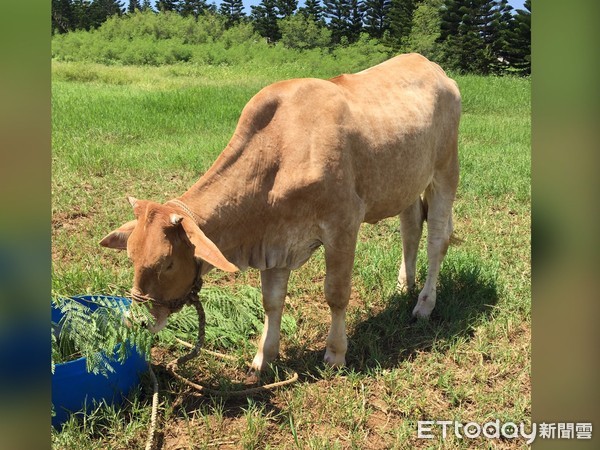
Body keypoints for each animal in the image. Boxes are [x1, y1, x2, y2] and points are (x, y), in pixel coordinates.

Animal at [101, 53, 462, 372]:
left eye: (168, 263)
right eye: (131, 257)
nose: (136, 322)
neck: (280, 153)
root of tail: (432, 66)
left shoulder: (343, 223)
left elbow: (336, 293)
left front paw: (336, 353)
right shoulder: (274, 238)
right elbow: (272, 300)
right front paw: (265, 356)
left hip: (445, 171)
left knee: (437, 240)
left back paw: (424, 304)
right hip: (406, 183)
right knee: (411, 227)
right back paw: (404, 285)